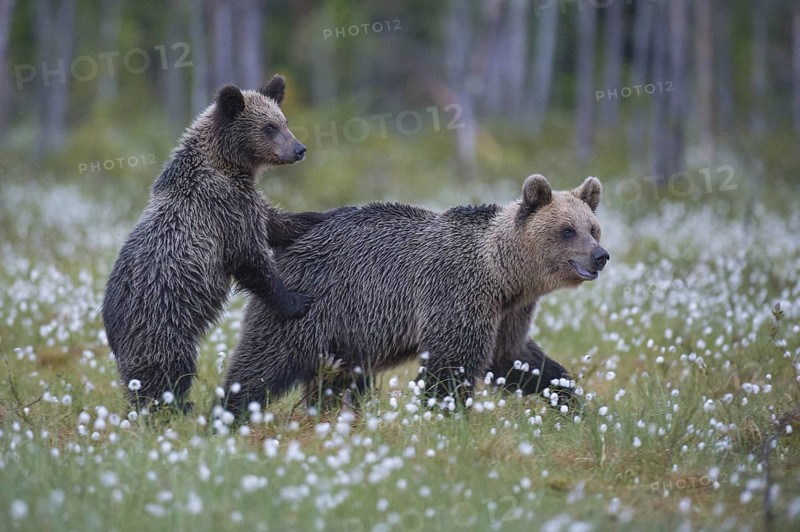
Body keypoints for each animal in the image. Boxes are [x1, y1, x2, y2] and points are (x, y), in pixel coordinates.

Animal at [103, 75, 338, 411]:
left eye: (284, 121)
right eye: (269, 127)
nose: (299, 149)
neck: (228, 164)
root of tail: (110, 325)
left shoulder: (245, 202)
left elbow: (275, 222)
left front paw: (325, 214)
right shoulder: (223, 209)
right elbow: (250, 259)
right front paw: (295, 301)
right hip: (160, 319)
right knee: (168, 367)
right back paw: (173, 404)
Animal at [222, 174, 609, 416]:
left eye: (593, 228)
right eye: (567, 230)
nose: (600, 256)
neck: (503, 274)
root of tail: (287, 243)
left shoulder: (510, 311)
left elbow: (514, 357)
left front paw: (569, 397)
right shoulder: (458, 292)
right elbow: (450, 363)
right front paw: (446, 415)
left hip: (348, 334)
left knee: (336, 380)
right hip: (307, 303)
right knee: (264, 362)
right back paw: (228, 414)